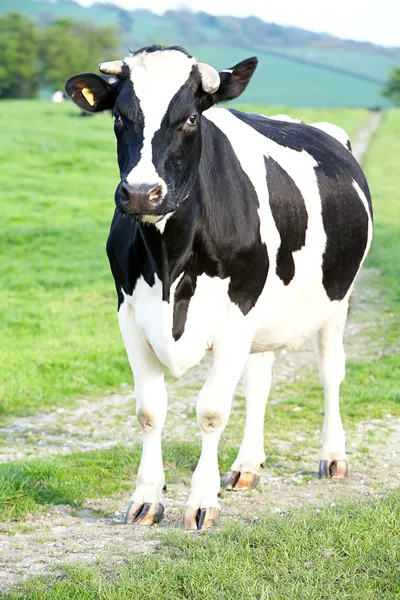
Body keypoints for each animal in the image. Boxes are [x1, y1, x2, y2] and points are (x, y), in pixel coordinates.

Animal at [64, 45, 374, 528]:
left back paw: (333, 456)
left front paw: (201, 502)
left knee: (331, 373)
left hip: (337, 299)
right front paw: (146, 498)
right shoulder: (129, 313)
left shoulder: (237, 312)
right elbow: (150, 411)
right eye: (119, 116)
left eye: (191, 118)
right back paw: (247, 465)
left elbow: (211, 410)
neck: (170, 259)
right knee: (259, 381)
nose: (141, 193)